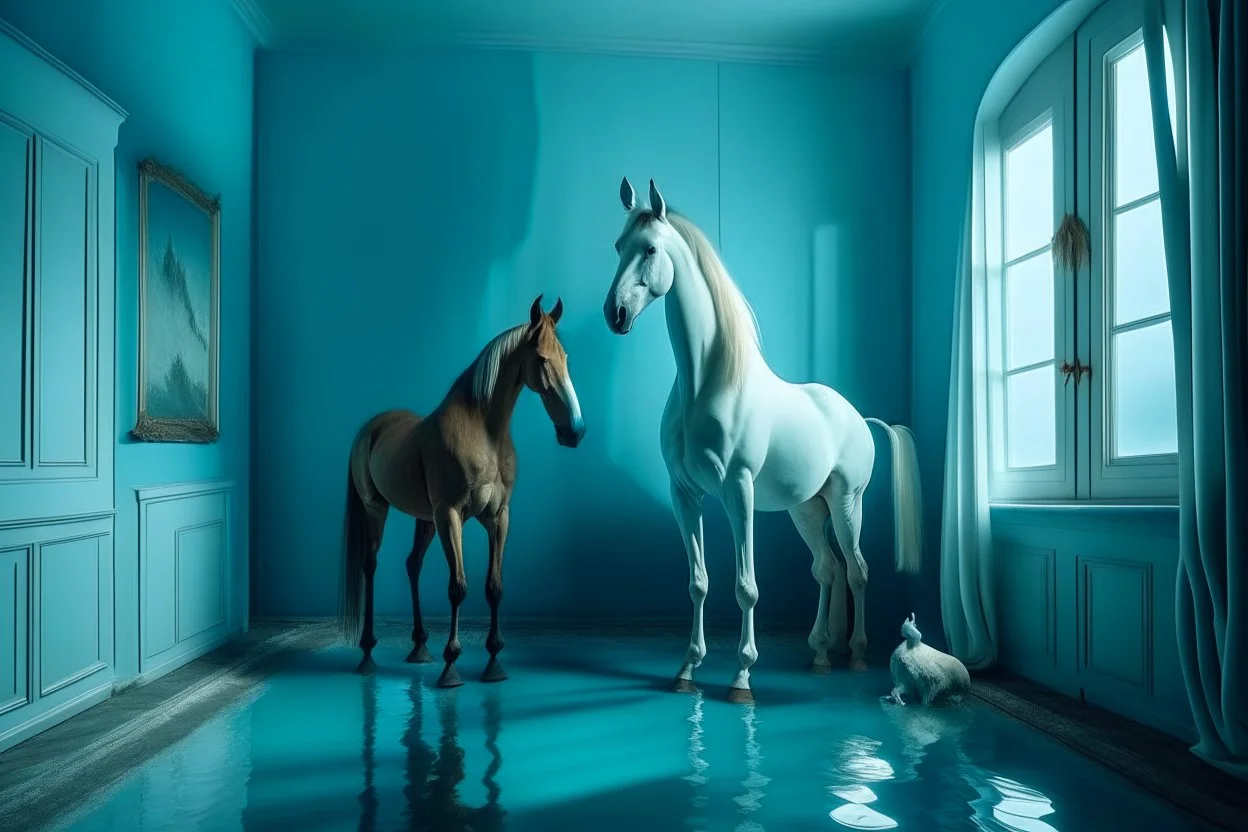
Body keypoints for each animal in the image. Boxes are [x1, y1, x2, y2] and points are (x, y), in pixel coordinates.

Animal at [334, 295, 581, 688]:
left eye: (566, 358)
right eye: (542, 359)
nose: (575, 430)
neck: (484, 432)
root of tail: (370, 428)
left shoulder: (497, 517)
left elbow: (494, 587)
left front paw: (493, 661)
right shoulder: (450, 515)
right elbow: (458, 587)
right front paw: (452, 664)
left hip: (425, 520)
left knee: (413, 565)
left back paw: (420, 647)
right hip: (378, 511)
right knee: (370, 566)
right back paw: (368, 653)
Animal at [604, 179, 928, 708]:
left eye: (650, 249)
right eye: (618, 247)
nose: (616, 314)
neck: (707, 385)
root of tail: (859, 418)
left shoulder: (739, 491)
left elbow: (746, 587)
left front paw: (742, 676)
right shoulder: (684, 494)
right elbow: (698, 582)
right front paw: (688, 668)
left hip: (847, 503)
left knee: (857, 569)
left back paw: (857, 654)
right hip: (806, 510)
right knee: (827, 568)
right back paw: (820, 654)